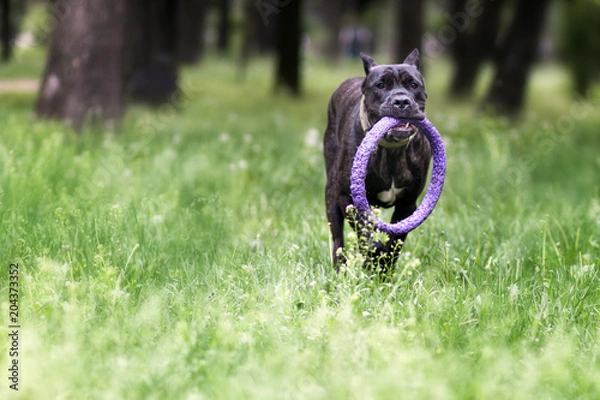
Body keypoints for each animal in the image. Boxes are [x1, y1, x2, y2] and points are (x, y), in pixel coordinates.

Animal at [324, 48, 432, 270]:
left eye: (413, 85)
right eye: (381, 85)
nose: (401, 101)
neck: (391, 151)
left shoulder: (408, 204)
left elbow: (396, 239)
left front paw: (384, 267)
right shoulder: (346, 198)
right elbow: (365, 231)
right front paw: (375, 254)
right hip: (331, 195)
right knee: (338, 239)